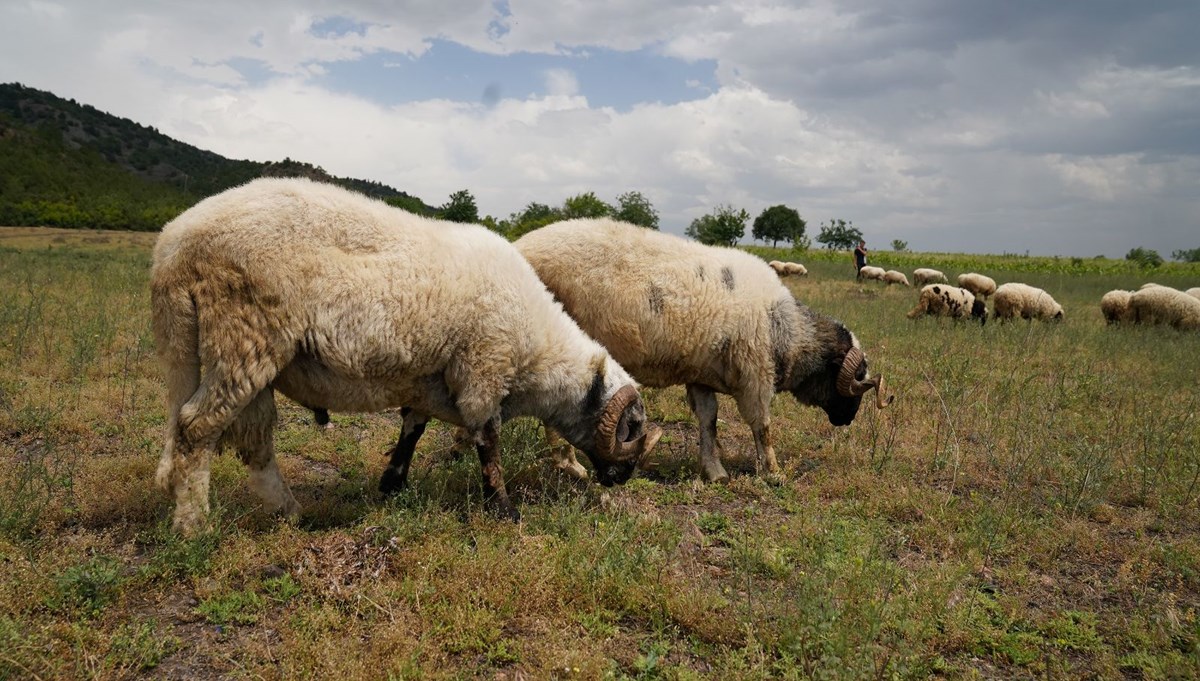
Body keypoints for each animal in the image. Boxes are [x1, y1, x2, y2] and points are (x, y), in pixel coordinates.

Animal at [151, 178, 662, 534]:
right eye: (632, 426)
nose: (622, 478)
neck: (538, 353)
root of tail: (173, 246)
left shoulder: (430, 380)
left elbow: (412, 430)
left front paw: (393, 484)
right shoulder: (483, 370)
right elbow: (488, 442)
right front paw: (504, 510)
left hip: (232, 351)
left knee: (252, 441)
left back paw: (290, 513)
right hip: (244, 333)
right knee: (196, 427)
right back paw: (194, 526)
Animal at [516, 220, 892, 481]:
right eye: (857, 378)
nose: (846, 420)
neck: (786, 330)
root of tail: (520, 246)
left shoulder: (702, 377)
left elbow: (709, 422)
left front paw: (715, 472)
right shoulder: (755, 377)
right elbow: (762, 426)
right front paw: (773, 473)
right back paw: (570, 465)